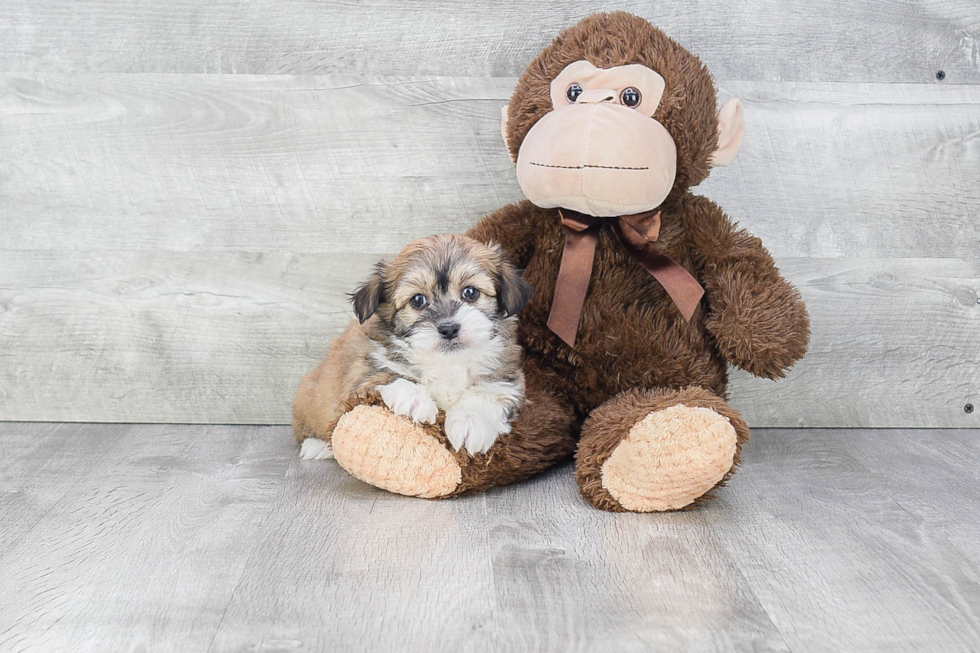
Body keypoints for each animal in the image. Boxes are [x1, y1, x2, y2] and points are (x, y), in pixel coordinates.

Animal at [292, 234, 532, 458]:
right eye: (418, 300)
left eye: (470, 292)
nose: (449, 328)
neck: (447, 363)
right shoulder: (360, 374)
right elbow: (387, 374)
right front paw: (415, 399)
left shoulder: (507, 377)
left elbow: (489, 392)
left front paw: (470, 422)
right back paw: (317, 446)